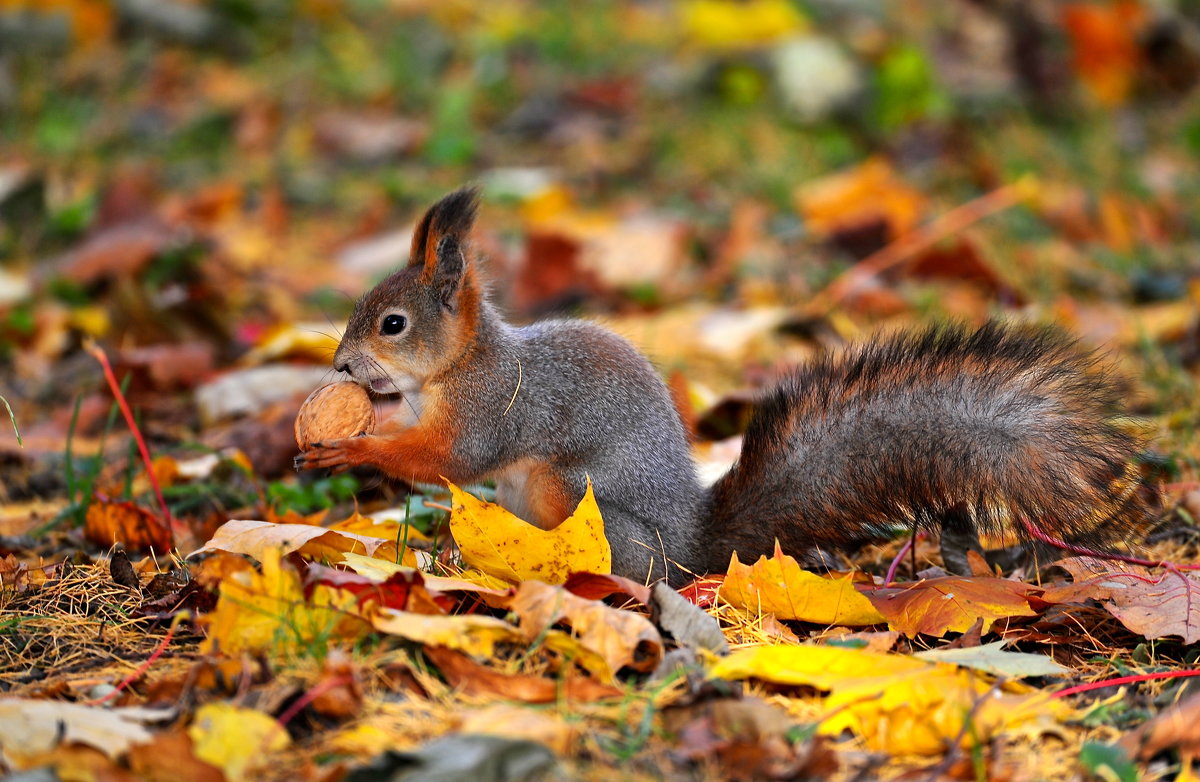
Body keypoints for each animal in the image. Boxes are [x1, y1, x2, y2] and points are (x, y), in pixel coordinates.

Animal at [295, 185, 1156, 582]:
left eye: (392, 324)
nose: (340, 366)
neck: (456, 368)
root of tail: (692, 550)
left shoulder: (492, 412)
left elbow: (446, 459)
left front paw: (349, 451)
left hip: (569, 498)